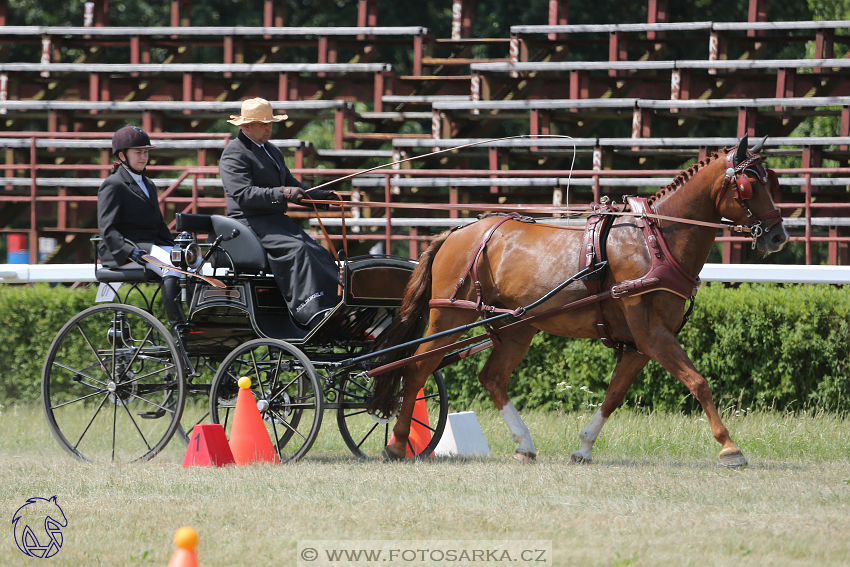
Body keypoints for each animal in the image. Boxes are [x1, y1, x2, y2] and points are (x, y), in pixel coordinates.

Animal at [372, 136, 788, 466]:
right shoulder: (652, 333)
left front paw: (584, 448)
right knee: (417, 369)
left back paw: (524, 444)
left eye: (774, 181)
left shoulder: (639, 343)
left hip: (516, 325)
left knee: (492, 378)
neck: (656, 240)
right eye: (750, 183)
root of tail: (457, 231)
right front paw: (730, 447)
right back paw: (397, 444)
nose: (778, 236)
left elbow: (614, 395)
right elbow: (699, 382)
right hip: (449, 316)